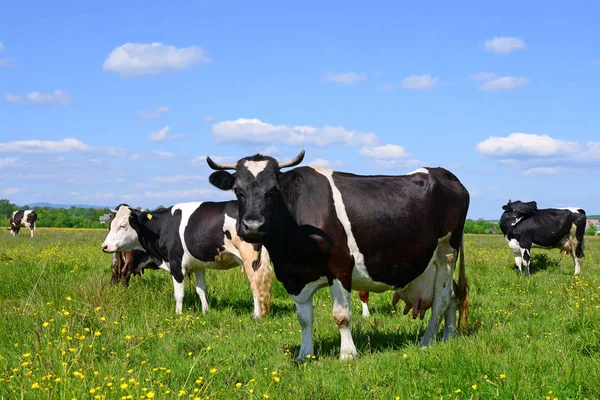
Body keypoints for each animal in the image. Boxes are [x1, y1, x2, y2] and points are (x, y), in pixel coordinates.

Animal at [101, 202, 274, 318]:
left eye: (123, 225)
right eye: (110, 225)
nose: (105, 246)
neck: (163, 227)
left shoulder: (176, 264)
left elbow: (179, 294)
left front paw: (178, 314)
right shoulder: (198, 265)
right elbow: (201, 290)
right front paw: (205, 311)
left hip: (250, 260)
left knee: (256, 286)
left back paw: (257, 316)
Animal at [209, 151, 472, 362]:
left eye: (273, 190)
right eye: (238, 191)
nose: (253, 226)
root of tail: (445, 173)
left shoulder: (340, 266)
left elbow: (342, 316)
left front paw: (347, 354)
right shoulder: (294, 276)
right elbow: (304, 318)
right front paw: (304, 354)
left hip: (448, 250)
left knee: (442, 298)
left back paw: (427, 341)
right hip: (434, 261)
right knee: (451, 295)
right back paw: (448, 337)